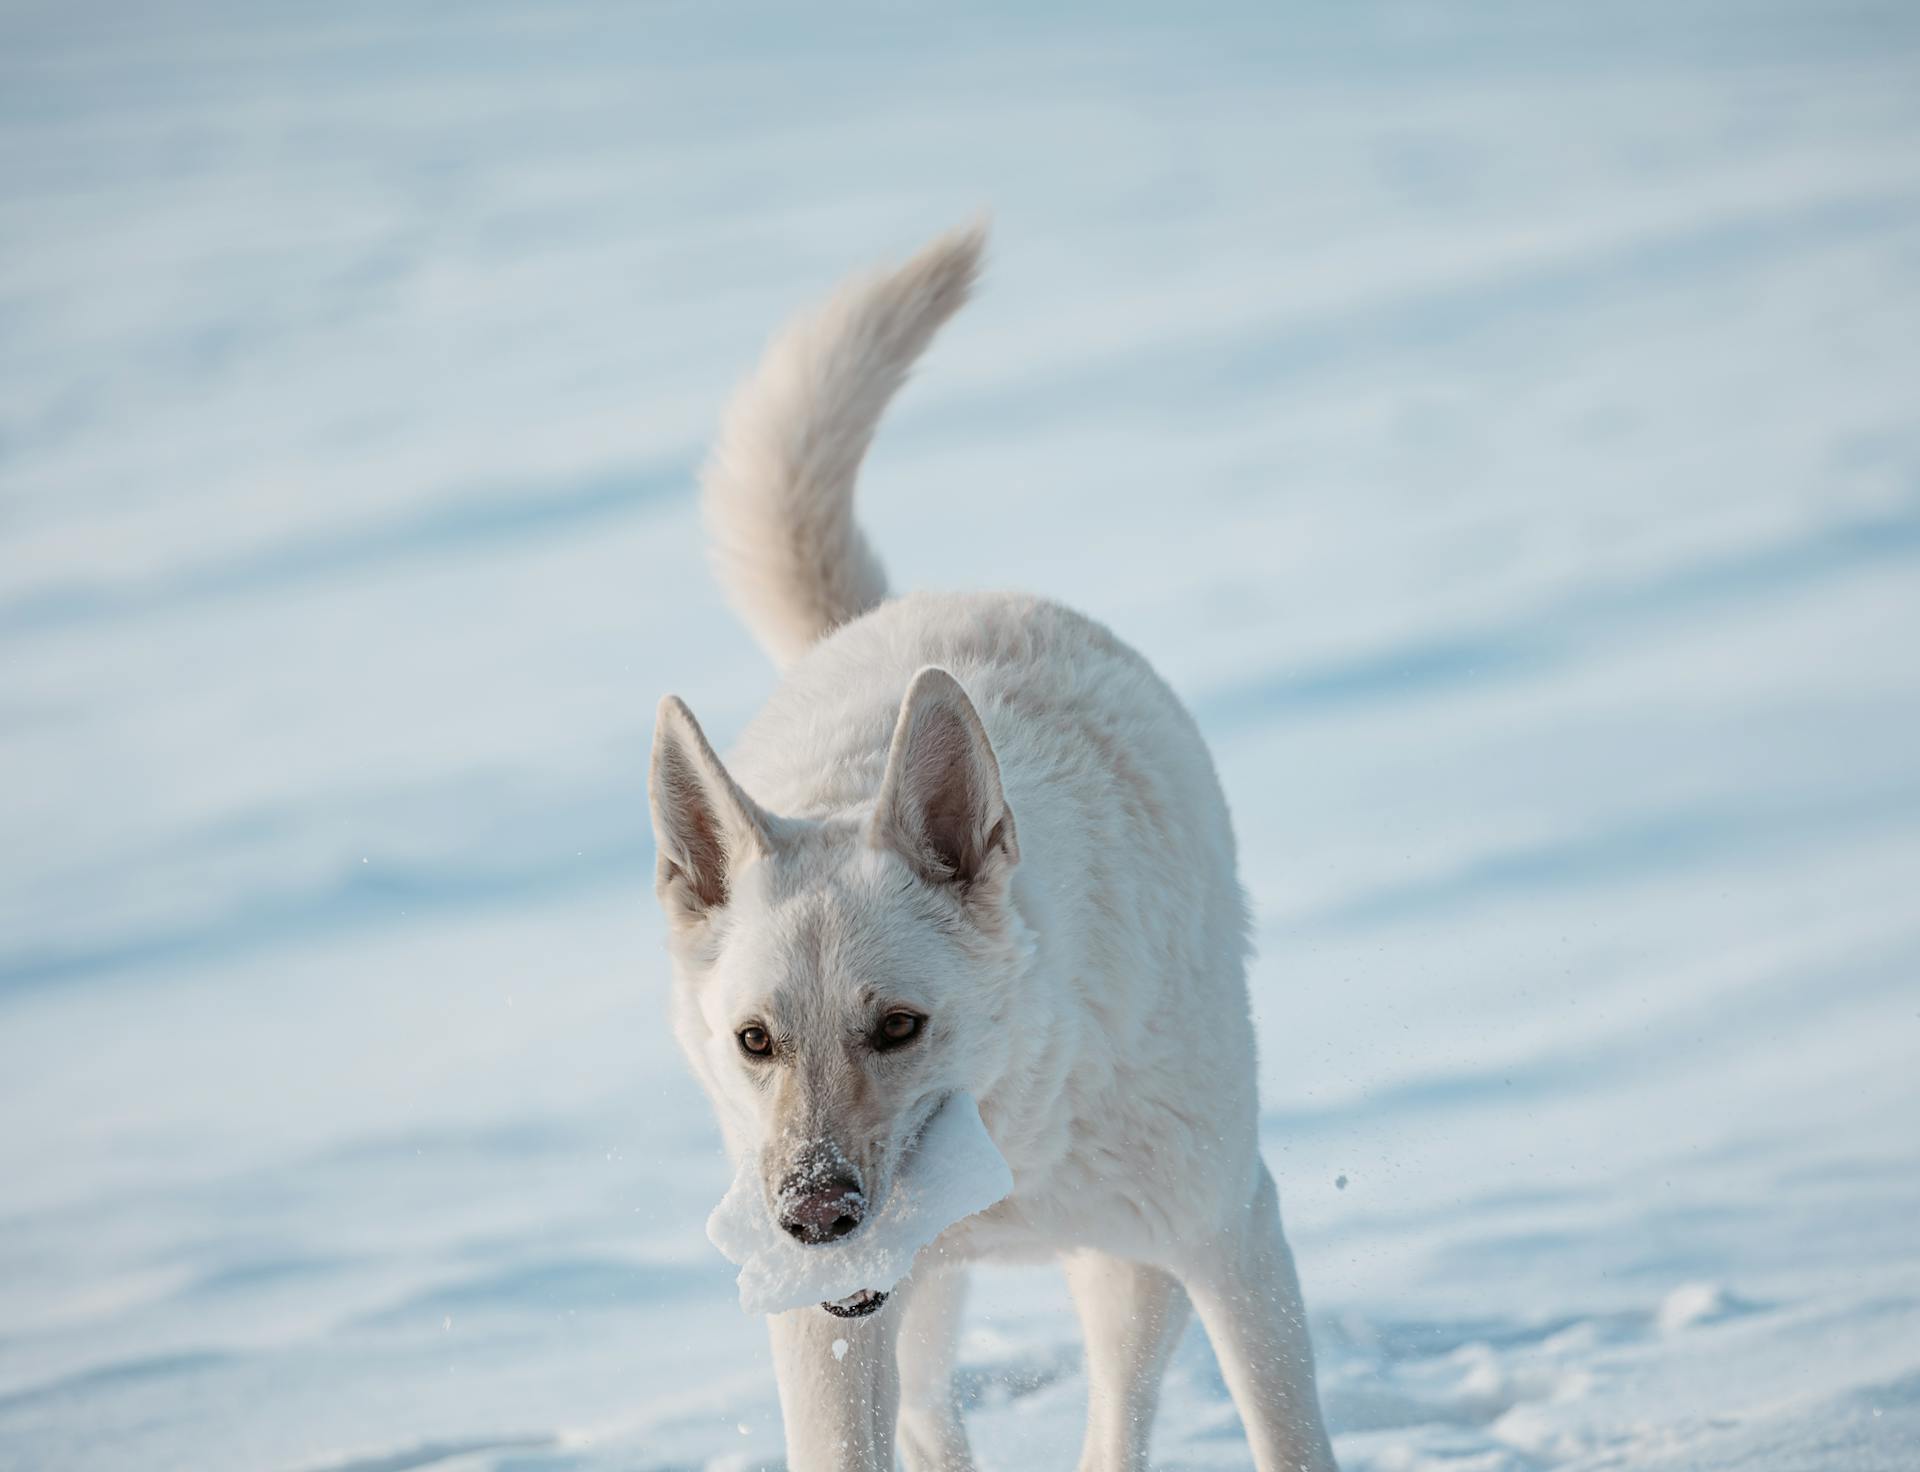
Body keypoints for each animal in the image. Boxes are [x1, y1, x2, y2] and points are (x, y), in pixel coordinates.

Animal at [648, 221, 1336, 1472]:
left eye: (899, 1025)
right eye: (755, 1038)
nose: (815, 1215)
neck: (1013, 1122)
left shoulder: (1231, 1234)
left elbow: (1288, 1437)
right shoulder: (832, 1322)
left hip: (1133, 1275)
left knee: (1116, 1408)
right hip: (920, 1305)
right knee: (931, 1409)